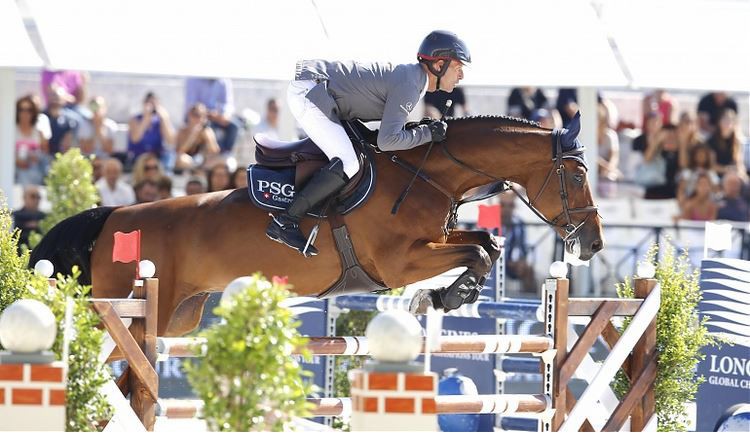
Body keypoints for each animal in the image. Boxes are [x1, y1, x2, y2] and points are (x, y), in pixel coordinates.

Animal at [32, 112, 604, 336]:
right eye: (577, 175)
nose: (595, 245)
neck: (423, 172)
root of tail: (112, 217)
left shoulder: (434, 241)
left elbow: (486, 244)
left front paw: (444, 296)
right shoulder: (399, 261)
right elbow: (479, 251)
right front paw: (440, 296)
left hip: (179, 317)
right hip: (125, 308)